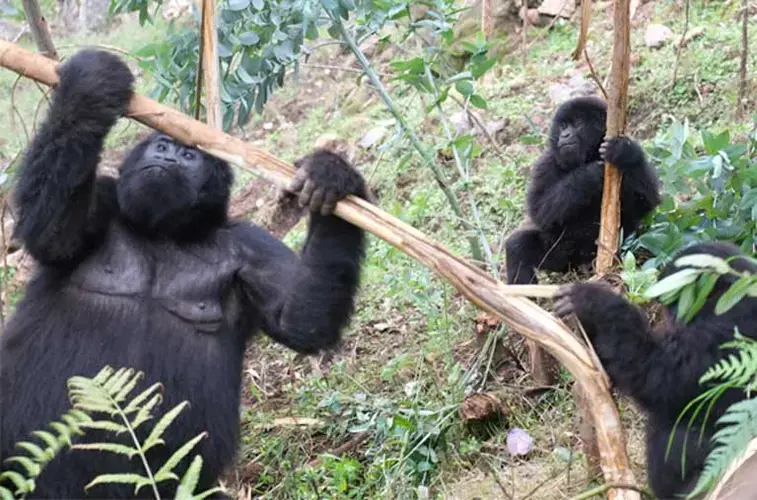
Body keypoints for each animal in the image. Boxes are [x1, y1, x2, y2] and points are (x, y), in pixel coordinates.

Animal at [0, 48, 366, 498]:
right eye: (161, 143)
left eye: (190, 156)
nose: (169, 155)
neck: (164, 232)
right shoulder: (104, 197)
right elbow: (51, 232)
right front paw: (89, 89)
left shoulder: (248, 246)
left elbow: (302, 319)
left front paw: (332, 177)